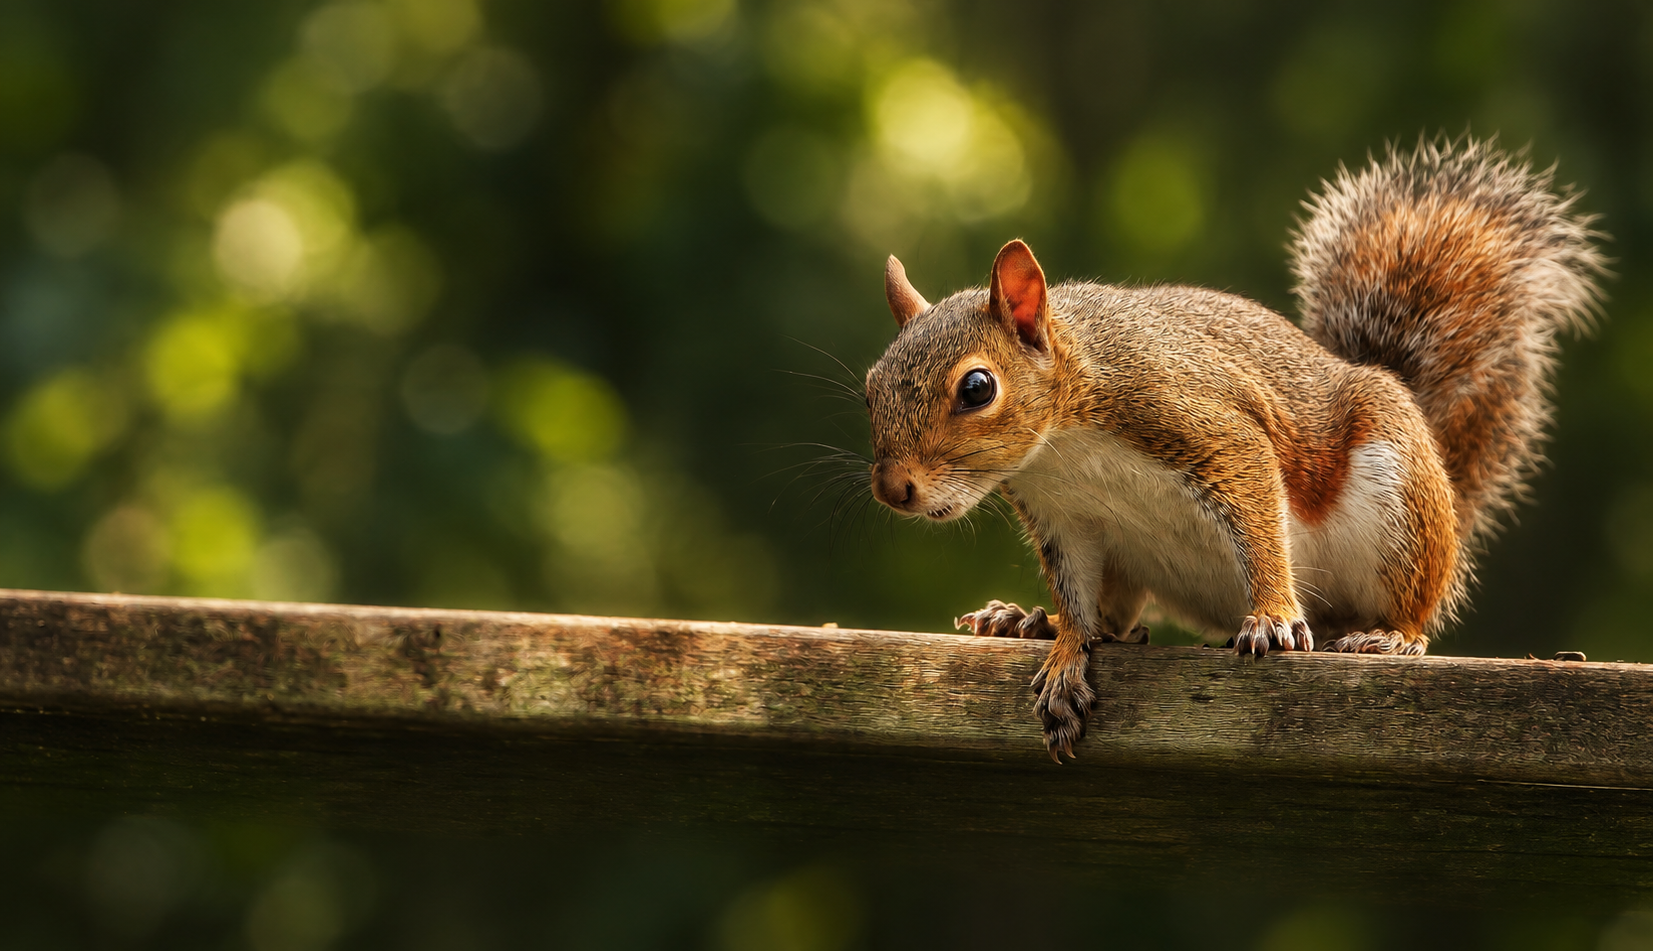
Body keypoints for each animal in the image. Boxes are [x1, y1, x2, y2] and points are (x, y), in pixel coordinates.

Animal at [863, 138, 1606, 762]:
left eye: (977, 387)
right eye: (870, 388)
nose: (893, 489)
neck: (1063, 446)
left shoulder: (1207, 428)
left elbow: (1257, 513)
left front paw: (1272, 616)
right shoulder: (1063, 517)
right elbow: (1077, 598)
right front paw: (1066, 648)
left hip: (1400, 501)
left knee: (1412, 606)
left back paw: (1387, 635)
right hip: (1133, 561)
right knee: (1117, 617)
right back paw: (1025, 621)